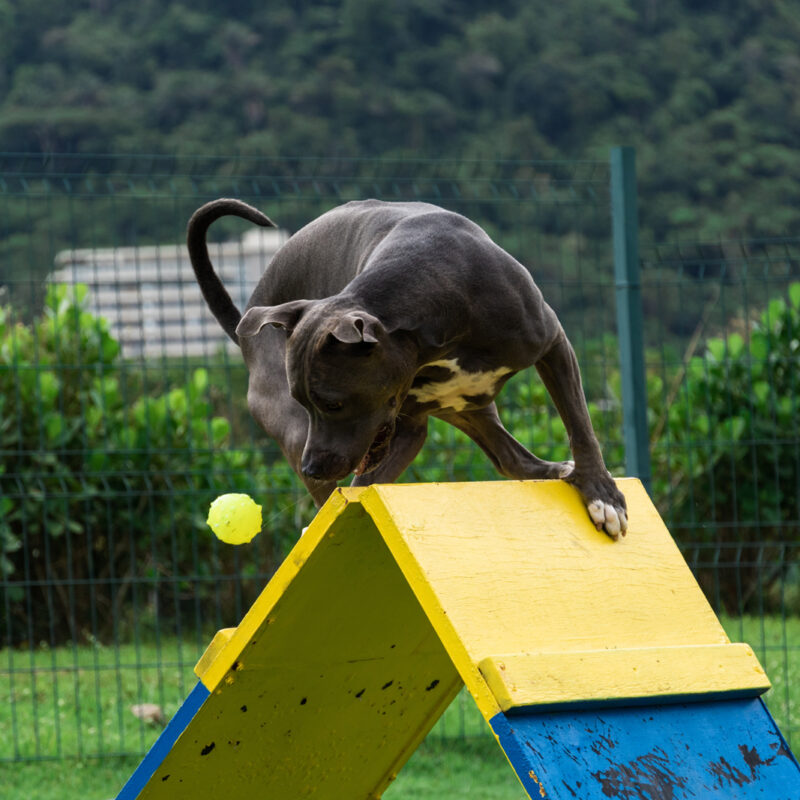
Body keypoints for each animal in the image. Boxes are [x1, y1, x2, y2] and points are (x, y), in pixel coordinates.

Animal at [189, 197, 632, 540]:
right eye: (302, 401)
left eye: (332, 404)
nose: (310, 467)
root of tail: (246, 322)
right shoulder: (398, 427)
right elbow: (360, 488)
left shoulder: (554, 344)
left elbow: (579, 424)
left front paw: (600, 493)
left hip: (465, 406)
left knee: (510, 457)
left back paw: (561, 470)